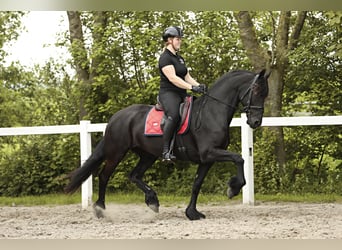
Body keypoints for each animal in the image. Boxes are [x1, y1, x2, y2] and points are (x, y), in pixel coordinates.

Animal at [65, 68, 270, 219]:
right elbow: (239, 158)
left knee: (134, 175)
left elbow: (197, 184)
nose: (255, 122)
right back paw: (100, 209)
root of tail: (116, 117)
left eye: (265, 94)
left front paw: (192, 213)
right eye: (256, 91)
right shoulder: (210, 152)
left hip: (148, 155)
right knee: (104, 176)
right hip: (117, 152)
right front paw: (233, 189)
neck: (211, 112)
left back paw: (152, 201)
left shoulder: (207, 159)